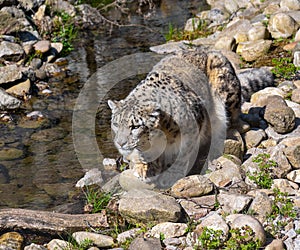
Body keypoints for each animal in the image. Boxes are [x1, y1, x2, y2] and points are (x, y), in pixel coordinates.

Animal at [108, 49, 274, 188]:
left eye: (135, 126)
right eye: (116, 124)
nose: (120, 143)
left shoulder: (191, 129)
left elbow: (183, 154)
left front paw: (171, 175)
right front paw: (143, 168)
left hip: (225, 90)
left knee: (234, 118)